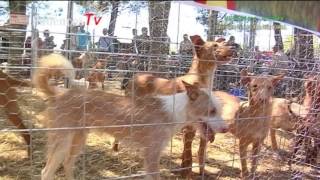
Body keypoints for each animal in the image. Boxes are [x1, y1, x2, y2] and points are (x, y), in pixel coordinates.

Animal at [31, 53, 228, 180]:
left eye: (219, 110)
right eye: (211, 111)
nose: (226, 129)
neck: (173, 110)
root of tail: (59, 94)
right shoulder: (151, 156)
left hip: (77, 141)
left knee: (67, 164)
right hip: (62, 142)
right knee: (46, 172)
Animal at [122, 34, 232, 177]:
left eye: (224, 43)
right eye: (215, 46)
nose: (233, 48)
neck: (200, 80)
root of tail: (133, 78)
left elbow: (201, 153)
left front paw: (201, 171)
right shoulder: (189, 128)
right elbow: (188, 155)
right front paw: (186, 173)